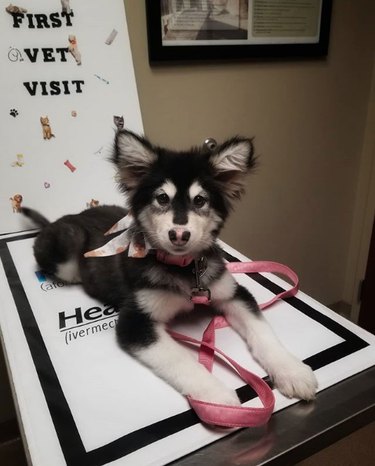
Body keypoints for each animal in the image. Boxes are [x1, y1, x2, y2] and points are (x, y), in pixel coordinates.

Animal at [24, 129, 318, 406]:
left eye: (200, 200)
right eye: (162, 198)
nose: (179, 235)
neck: (184, 269)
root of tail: (58, 220)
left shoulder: (233, 294)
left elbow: (263, 332)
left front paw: (291, 370)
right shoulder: (135, 322)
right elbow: (180, 360)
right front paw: (217, 397)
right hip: (66, 252)